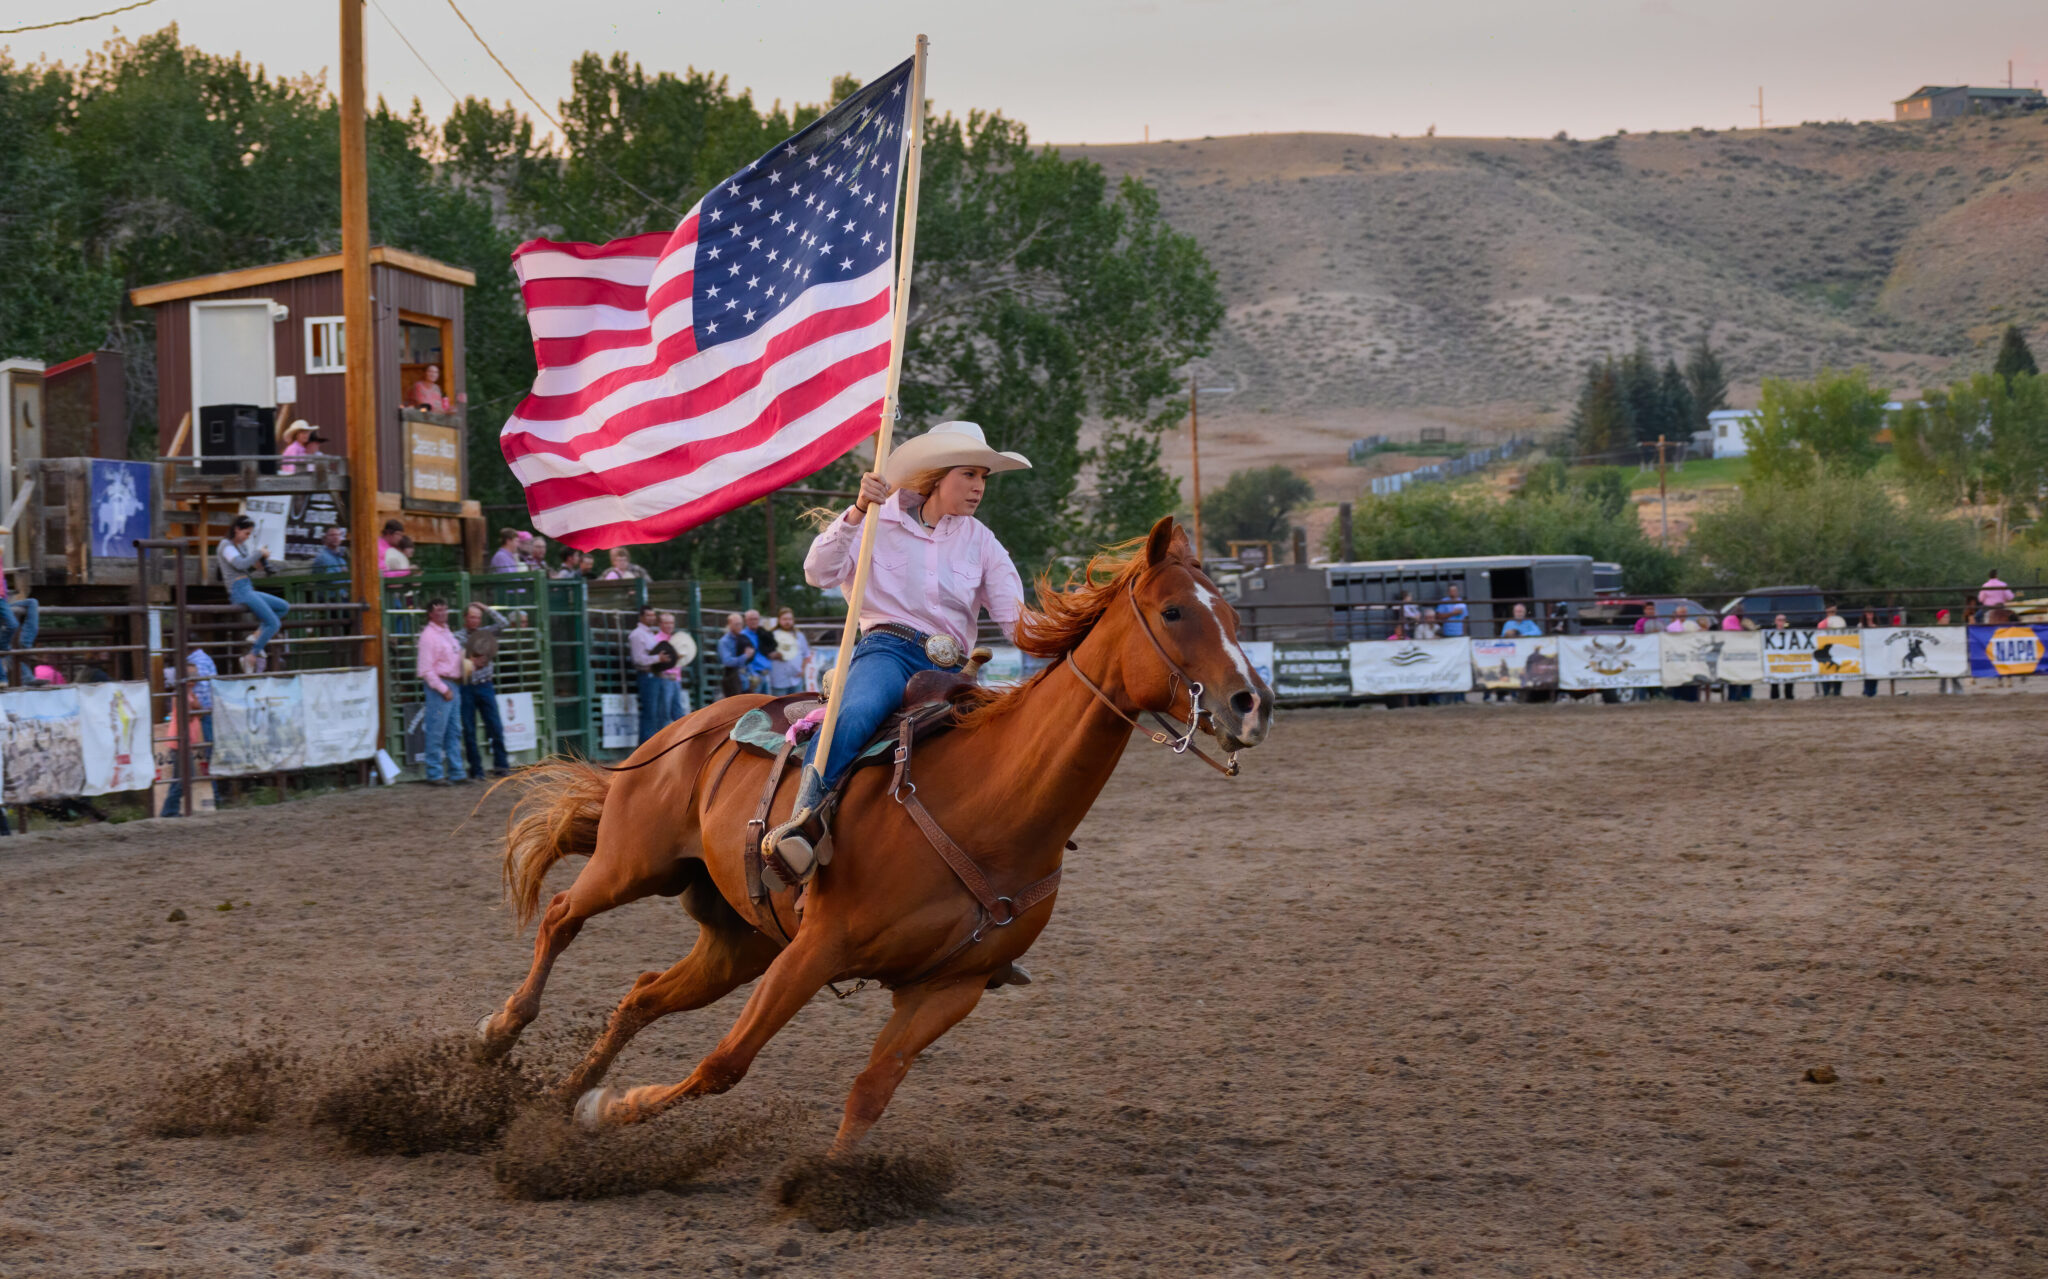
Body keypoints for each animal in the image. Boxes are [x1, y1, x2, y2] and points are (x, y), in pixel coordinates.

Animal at [481, 513, 1269, 1154]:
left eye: (1232, 612)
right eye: (1173, 611)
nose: (1251, 702)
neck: (992, 807)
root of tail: (689, 725)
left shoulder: (950, 987)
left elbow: (870, 1091)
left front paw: (830, 1187)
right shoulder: (818, 948)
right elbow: (723, 1063)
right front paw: (613, 1109)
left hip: (741, 940)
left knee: (642, 993)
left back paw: (561, 1098)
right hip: (632, 863)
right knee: (561, 914)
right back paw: (499, 1035)